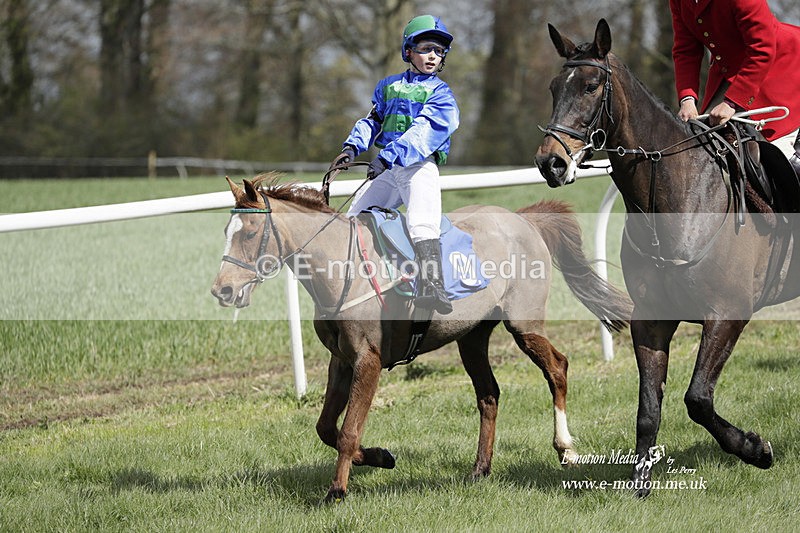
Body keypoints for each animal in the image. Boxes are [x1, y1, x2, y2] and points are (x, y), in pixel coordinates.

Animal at [210, 175, 632, 501]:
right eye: (227, 232)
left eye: (250, 232)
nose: (222, 291)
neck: (341, 269)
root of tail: (523, 219)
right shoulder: (341, 359)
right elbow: (326, 427)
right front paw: (379, 456)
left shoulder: (368, 359)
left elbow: (347, 431)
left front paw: (337, 490)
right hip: (471, 336)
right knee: (488, 394)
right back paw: (480, 468)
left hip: (524, 323)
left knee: (557, 368)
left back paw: (566, 449)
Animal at [535, 19, 800, 496]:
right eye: (553, 88)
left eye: (590, 86)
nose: (551, 163)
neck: (681, 196)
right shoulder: (651, 319)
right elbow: (648, 410)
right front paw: (639, 483)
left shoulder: (727, 314)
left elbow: (697, 399)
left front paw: (755, 449)